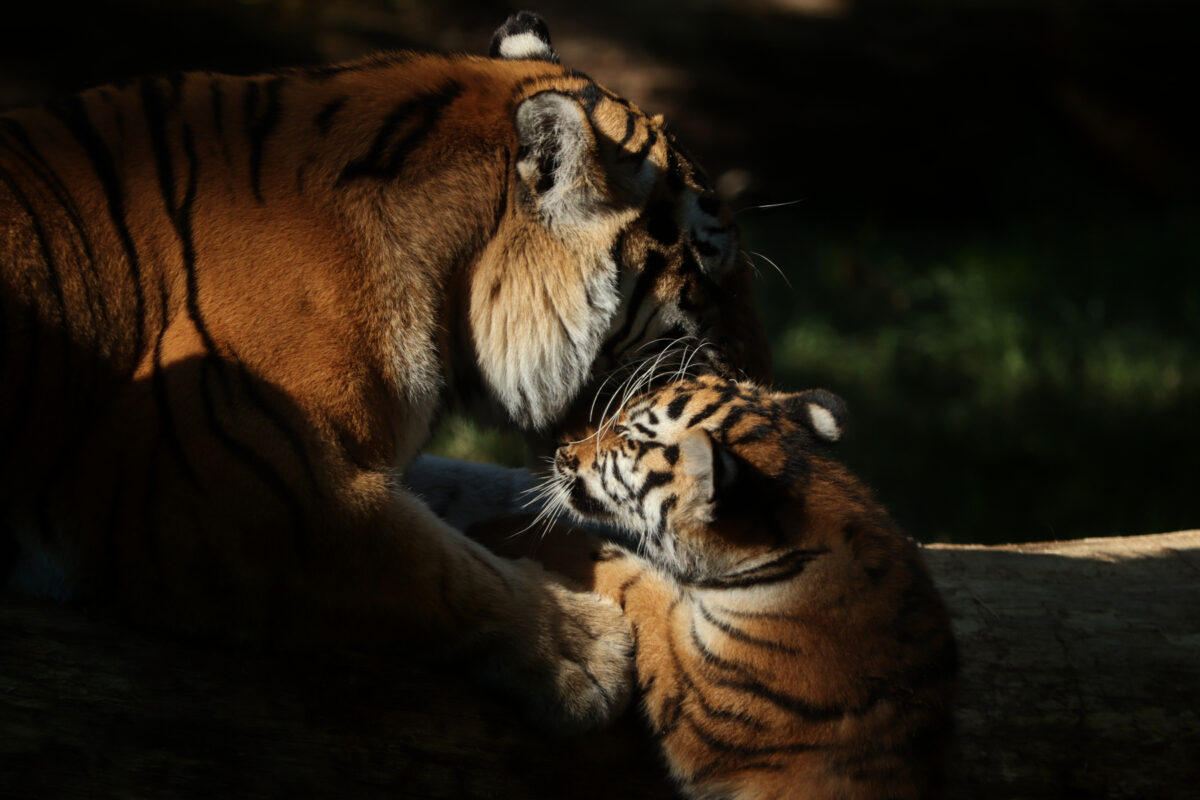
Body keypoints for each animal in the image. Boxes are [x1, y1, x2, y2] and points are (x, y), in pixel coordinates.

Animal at [0, 14, 768, 734]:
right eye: (712, 269)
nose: (758, 374)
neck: (450, 282)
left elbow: (485, 498)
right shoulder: (215, 475)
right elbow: (429, 558)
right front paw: (586, 651)